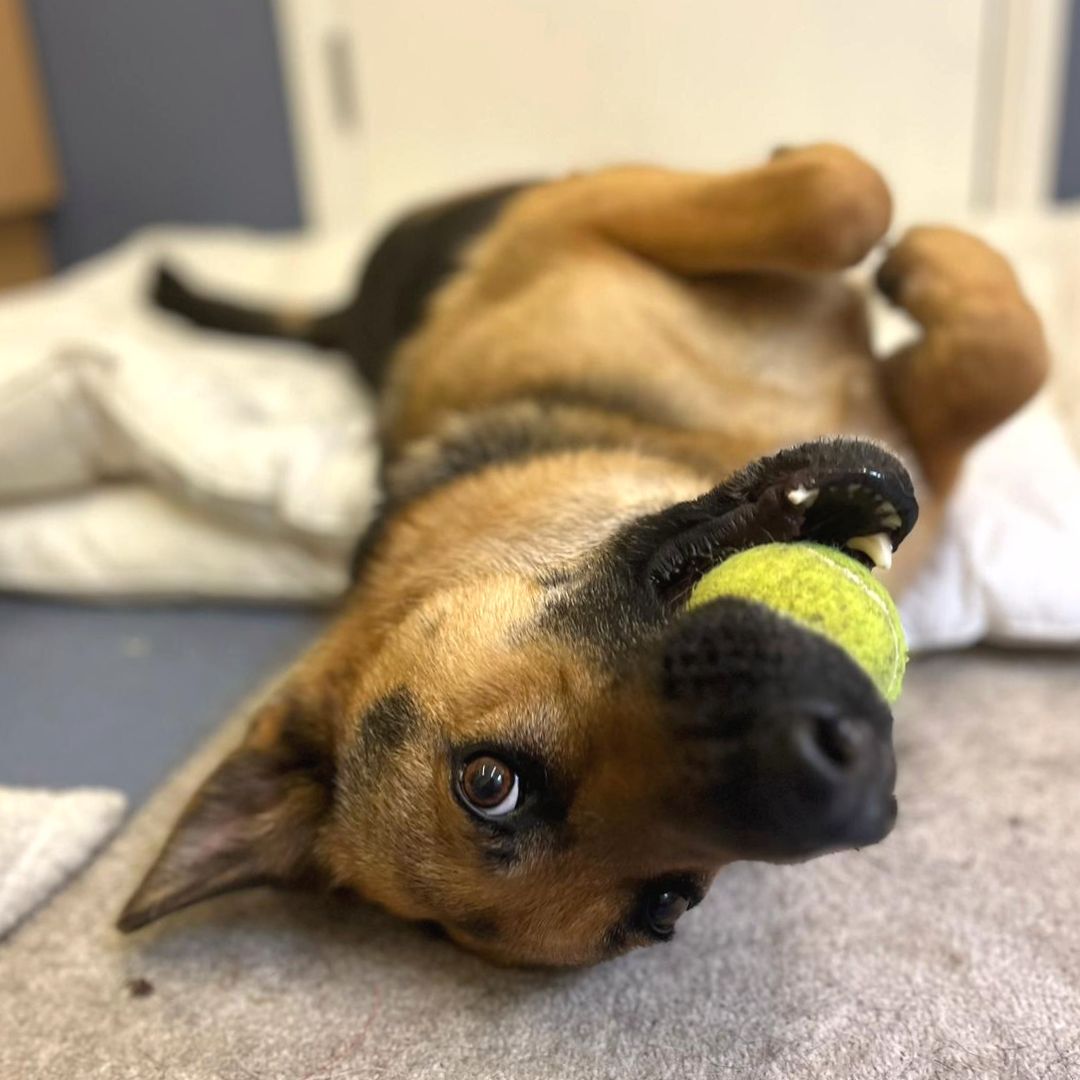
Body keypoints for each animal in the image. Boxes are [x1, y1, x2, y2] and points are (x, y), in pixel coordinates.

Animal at [118, 145, 1045, 972]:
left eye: (486, 782)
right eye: (669, 905)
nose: (854, 785)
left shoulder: (574, 214)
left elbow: (856, 205)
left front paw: (916, 256)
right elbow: (865, 218)